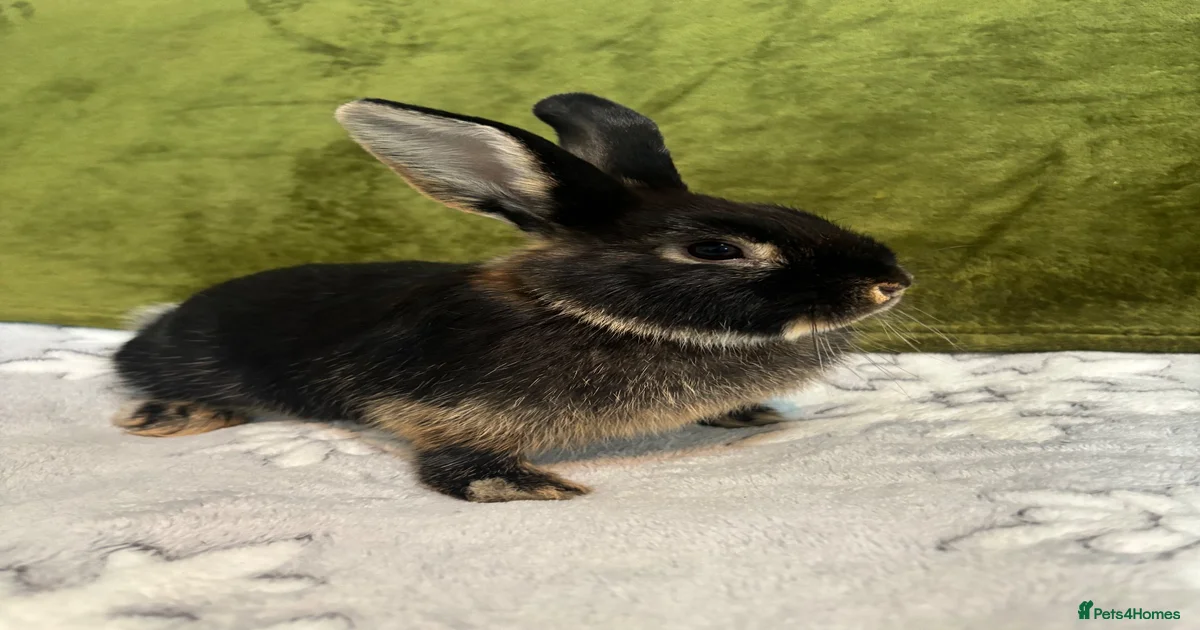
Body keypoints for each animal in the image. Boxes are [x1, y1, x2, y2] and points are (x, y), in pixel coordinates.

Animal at [110, 93, 912, 502]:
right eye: (716, 249)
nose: (891, 283)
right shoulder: (433, 405)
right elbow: (451, 455)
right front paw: (524, 487)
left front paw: (749, 412)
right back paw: (171, 415)